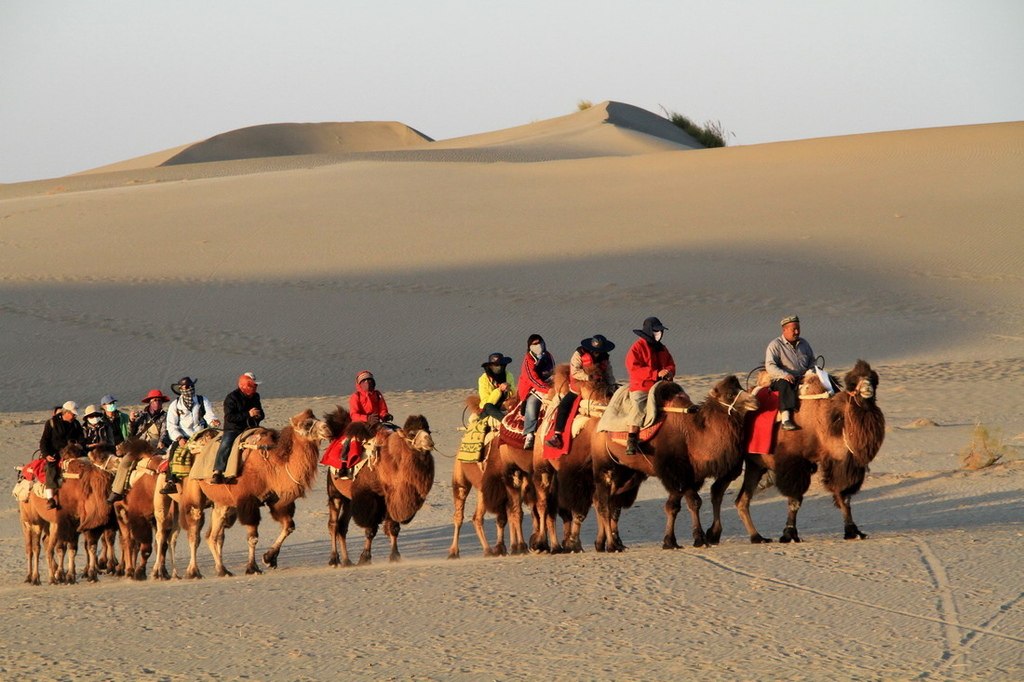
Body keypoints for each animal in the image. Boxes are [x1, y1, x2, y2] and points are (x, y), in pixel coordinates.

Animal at [18, 444, 111, 581]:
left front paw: (75, 575)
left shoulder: (77, 524)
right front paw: (65, 575)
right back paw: (33, 577)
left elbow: (77, 548)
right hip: (29, 519)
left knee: (45, 543)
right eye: (102, 456)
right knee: (32, 547)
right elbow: (62, 548)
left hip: (47, 522)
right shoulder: (65, 522)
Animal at [180, 405, 327, 577]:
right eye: (307, 423)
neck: (273, 464)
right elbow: (253, 537)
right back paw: (193, 571)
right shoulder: (248, 500)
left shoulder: (276, 500)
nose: (327, 428)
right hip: (194, 492)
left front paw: (269, 558)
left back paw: (222, 569)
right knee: (194, 531)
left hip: (222, 503)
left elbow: (289, 526)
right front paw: (252, 567)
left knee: (213, 535)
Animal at [329, 411, 434, 565]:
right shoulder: (368, 497)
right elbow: (370, 529)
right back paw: (333, 560)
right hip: (334, 491)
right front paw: (365, 558)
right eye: (411, 434)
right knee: (334, 524)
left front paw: (395, 556)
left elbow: (394, 528)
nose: (429, 442)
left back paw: (347, 561)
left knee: (342, 526)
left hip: (349, 499)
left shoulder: (391, 497)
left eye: (429, 431)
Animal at [585, 374, 761, 548]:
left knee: (609, 500)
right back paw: (610, 545)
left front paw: (678, 540)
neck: (693, 434)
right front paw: (692, 539)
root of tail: (596, 422)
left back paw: (607, 543)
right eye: (730, 394)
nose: (755, 401)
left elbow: (682, 505)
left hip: (628, 472)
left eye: (742, 388)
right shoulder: (676, 472)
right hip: (604, 465)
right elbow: (685, 504)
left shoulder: (691, 475)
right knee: (603, 503)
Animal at [733, 358, 884, 540]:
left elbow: (844, 496)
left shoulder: (841, 462)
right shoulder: (793, 461)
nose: (867, 388)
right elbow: (794, 500)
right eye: (852, 382)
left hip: (755, 463)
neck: (821, 424)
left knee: (742, 500)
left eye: (874, 380)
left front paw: (853, 531)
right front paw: (789, 534)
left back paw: (757, 537)